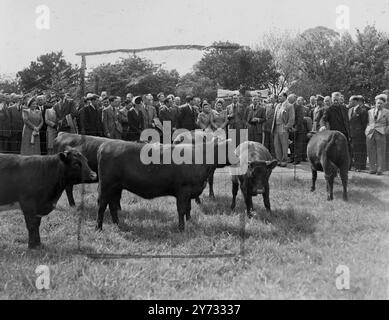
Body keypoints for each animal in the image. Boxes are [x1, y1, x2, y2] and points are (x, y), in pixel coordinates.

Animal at [96, 139, 233, 231]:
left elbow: (188, 208)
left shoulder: (189, 192)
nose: (237, 156)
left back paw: (117, 224)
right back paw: (99, 227)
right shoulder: (183, 191)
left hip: (116, 188)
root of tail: (106, 144)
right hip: (106, 187)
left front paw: (189, 221)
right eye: (229, 149)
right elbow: (181, 209)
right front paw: (181, 228)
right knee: (102, 205)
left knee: (113, 205)